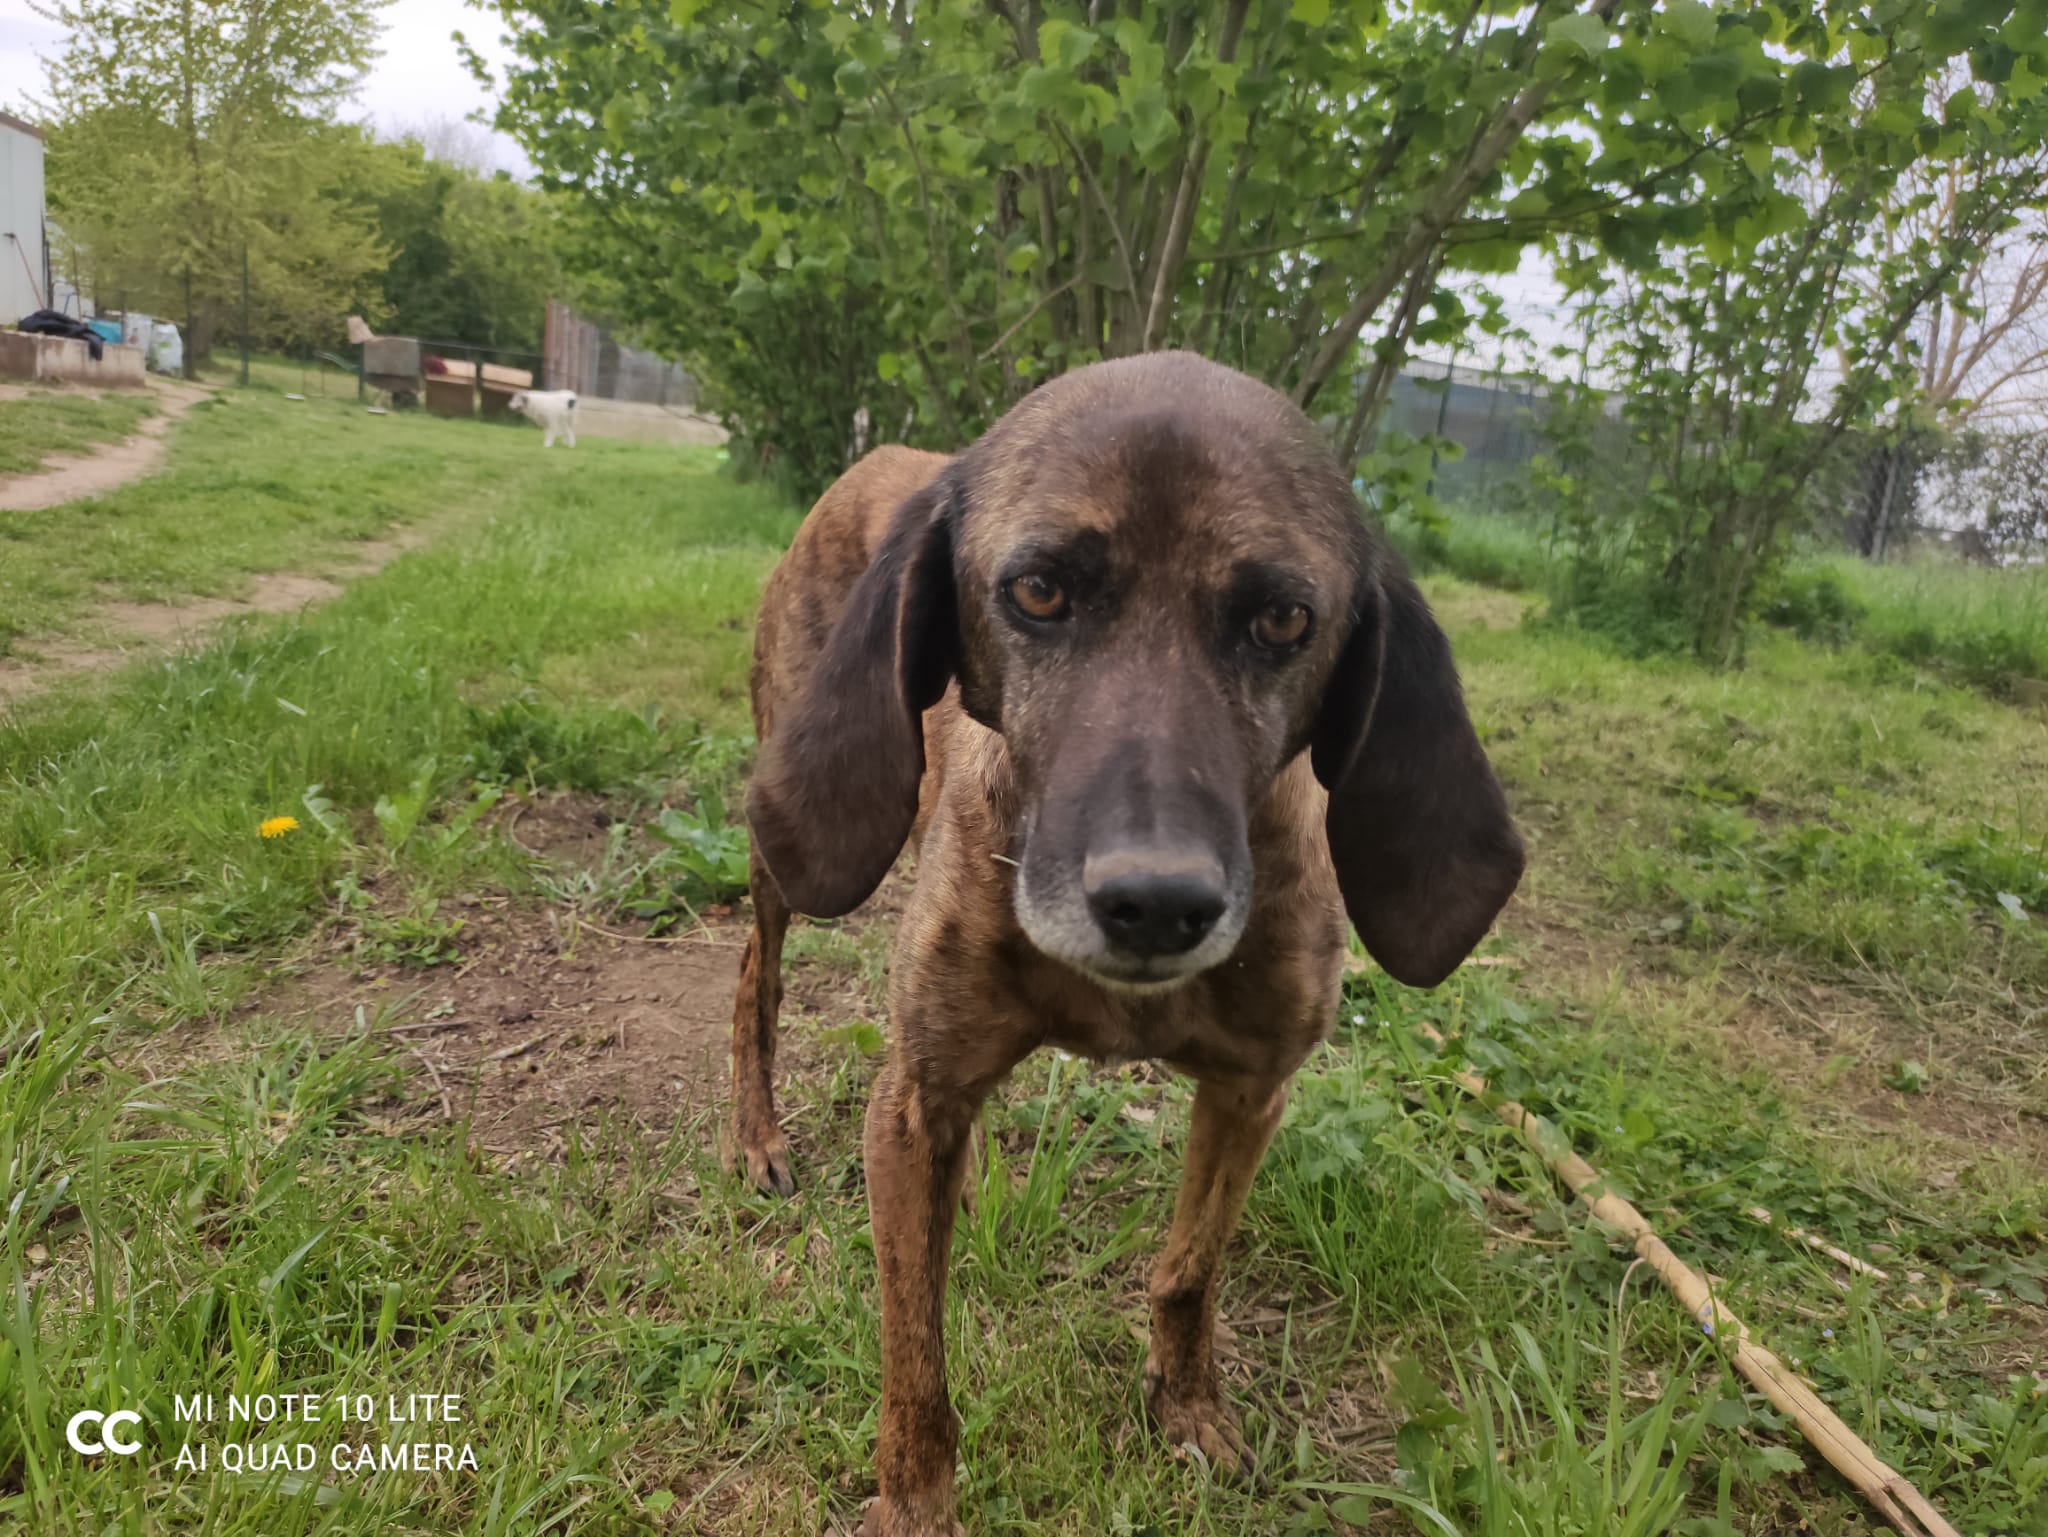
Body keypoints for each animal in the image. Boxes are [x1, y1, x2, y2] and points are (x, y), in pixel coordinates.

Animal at [731, 351, 1524, 1536]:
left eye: (1282, 619)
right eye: (1039, 591)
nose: (1156, 904)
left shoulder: (1250, 1092)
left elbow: (1189, 1269)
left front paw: (1185, 1406)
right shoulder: (914, 1093)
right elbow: (914, 1356)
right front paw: (915, 1503)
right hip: (792, 853)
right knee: (757, 976)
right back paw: (755, 1136)